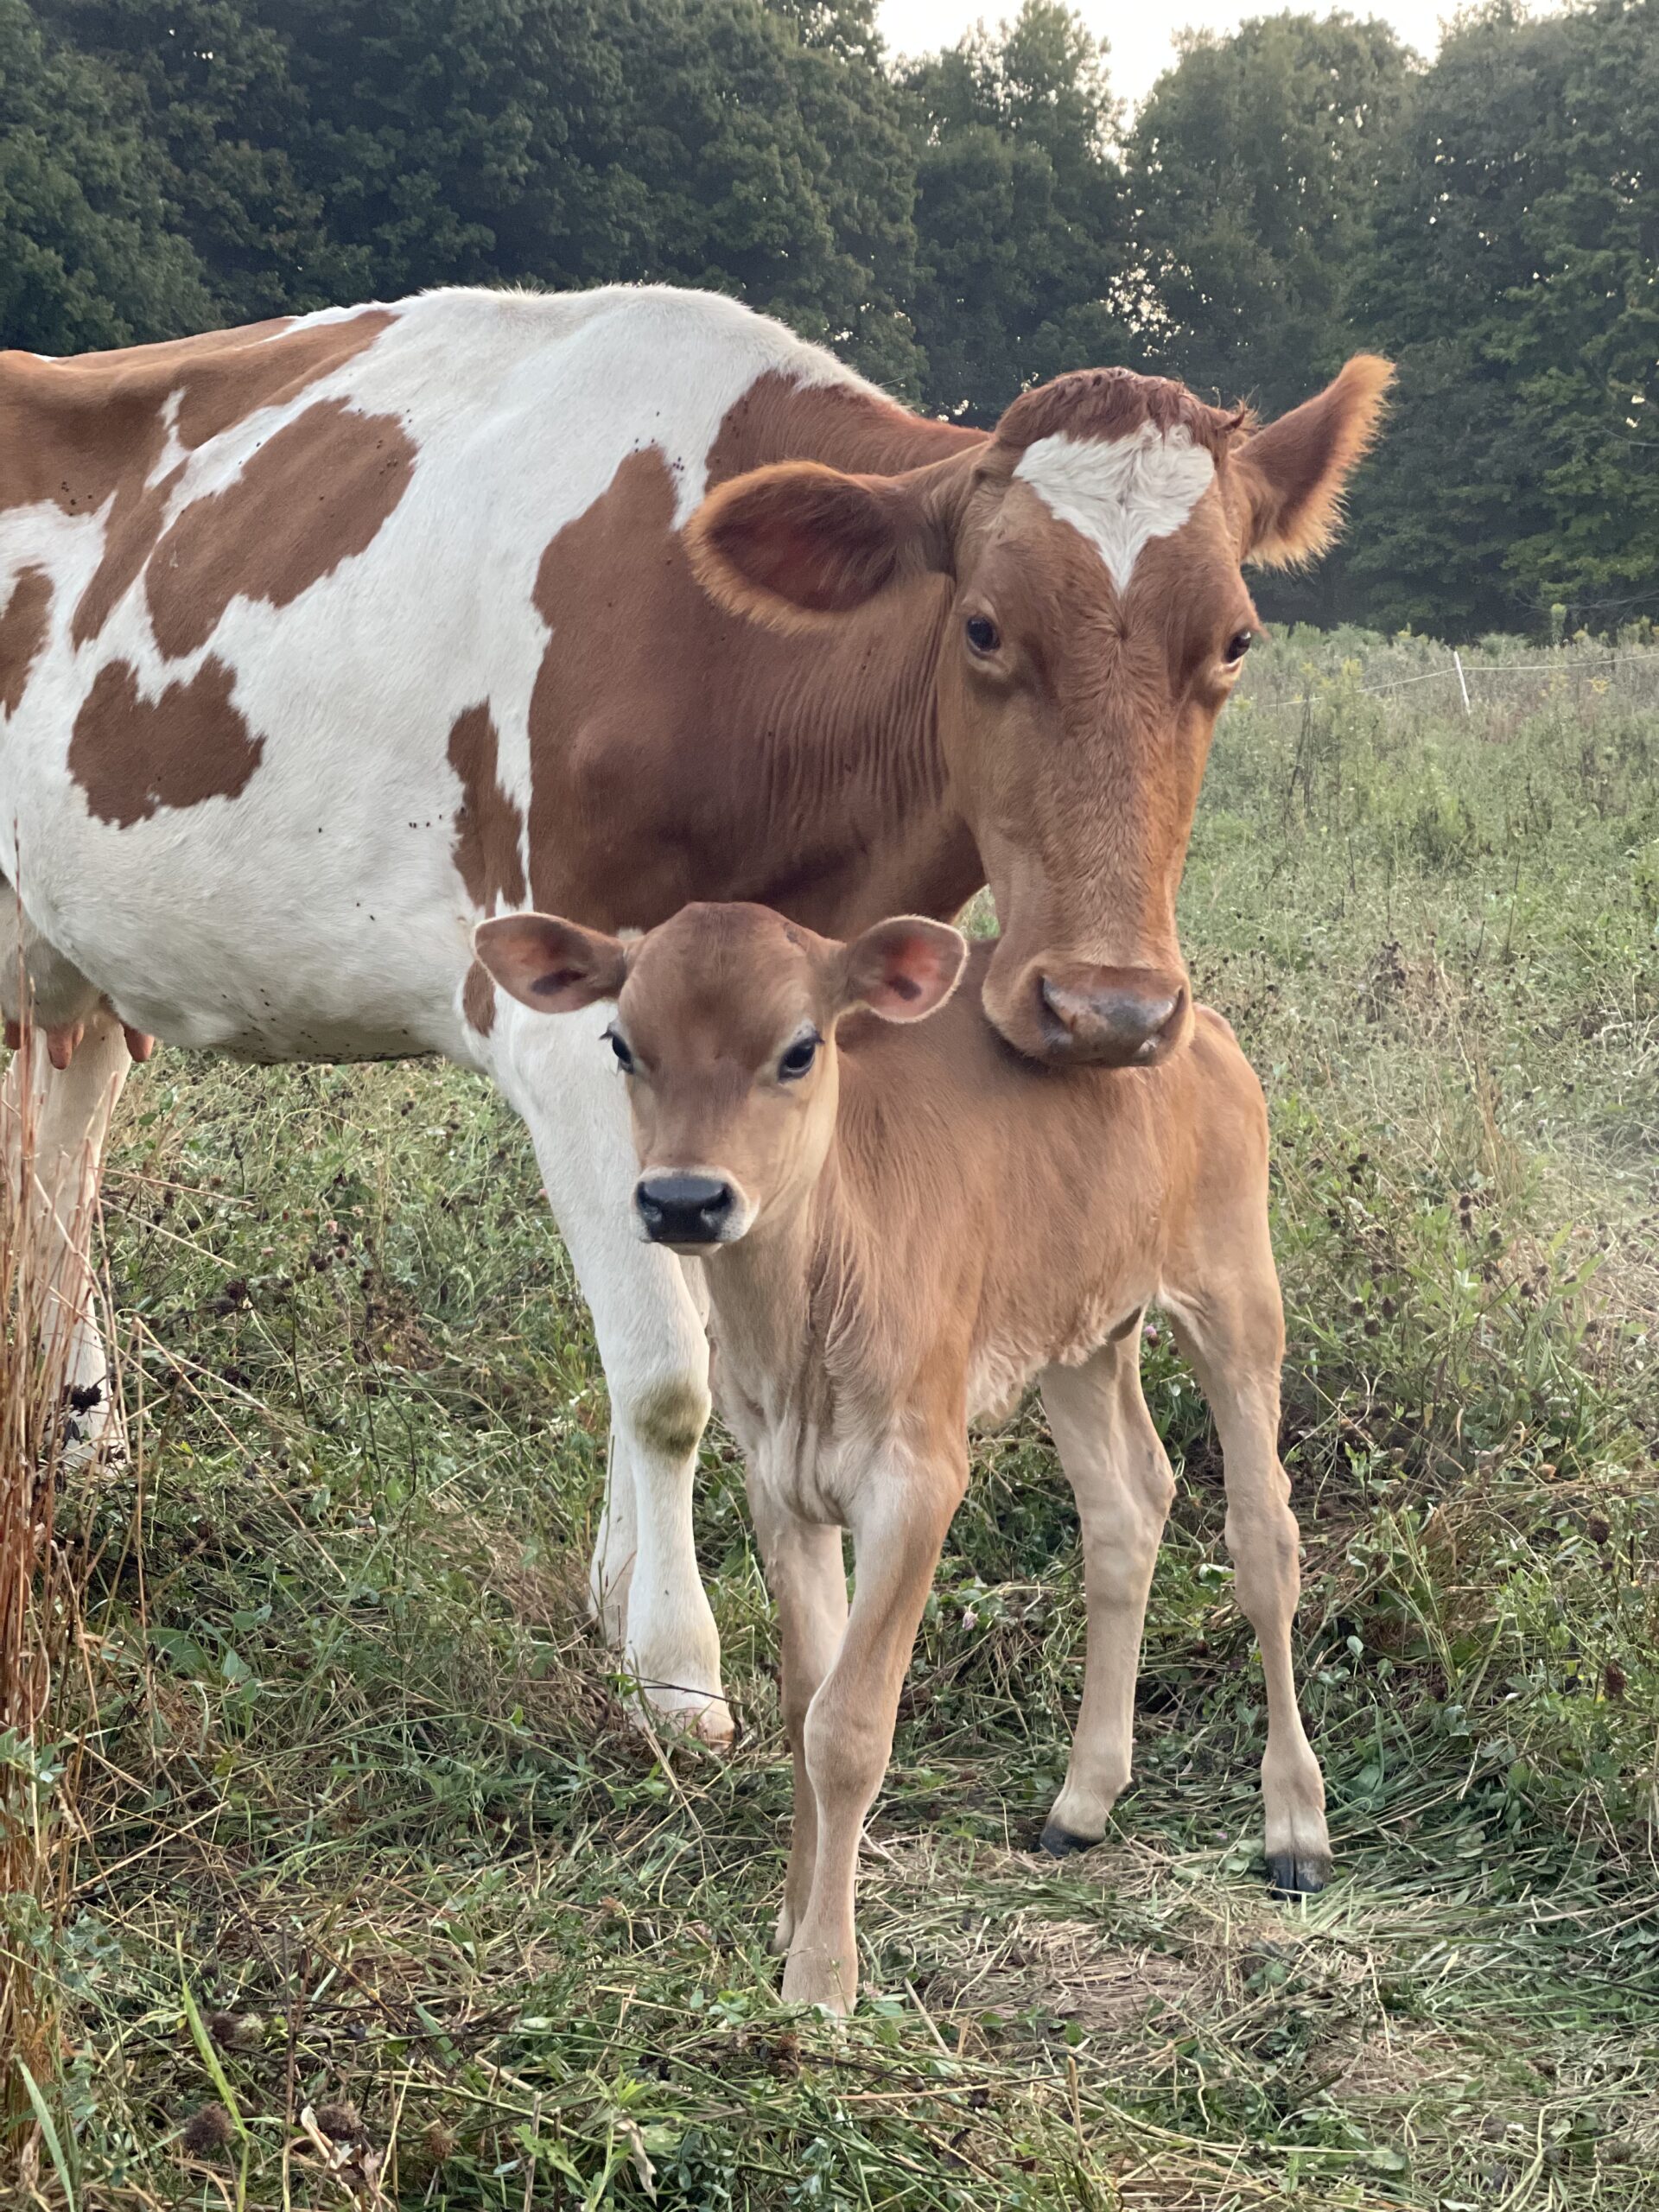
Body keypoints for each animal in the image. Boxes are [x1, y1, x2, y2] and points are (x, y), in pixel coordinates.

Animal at [0, 285, 1397, 1734]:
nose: (1108, 1009)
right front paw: (676, 1668)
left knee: (60, 1171)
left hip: (76, 966)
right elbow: (669, 1375)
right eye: (982, 626)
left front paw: (629, 1598)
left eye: (1235, 640)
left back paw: (81, 1437)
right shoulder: (563, 1022)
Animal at [477, 902, 1327, 2025]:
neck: (811, 1303)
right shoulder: (781, 1484)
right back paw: (1084, 1798)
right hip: (1081, 1333)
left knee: (1264, 1536)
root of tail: (1194, 1027)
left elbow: (849, 1723)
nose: (684, 1200)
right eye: (622, 1044)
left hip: (1234, 1290)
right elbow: (805, 1701)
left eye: (800, 1048)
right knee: (1127, 1503)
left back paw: (1296, 1825)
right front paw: (792, 1919)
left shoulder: (918, 1480)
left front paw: (822, 1980)